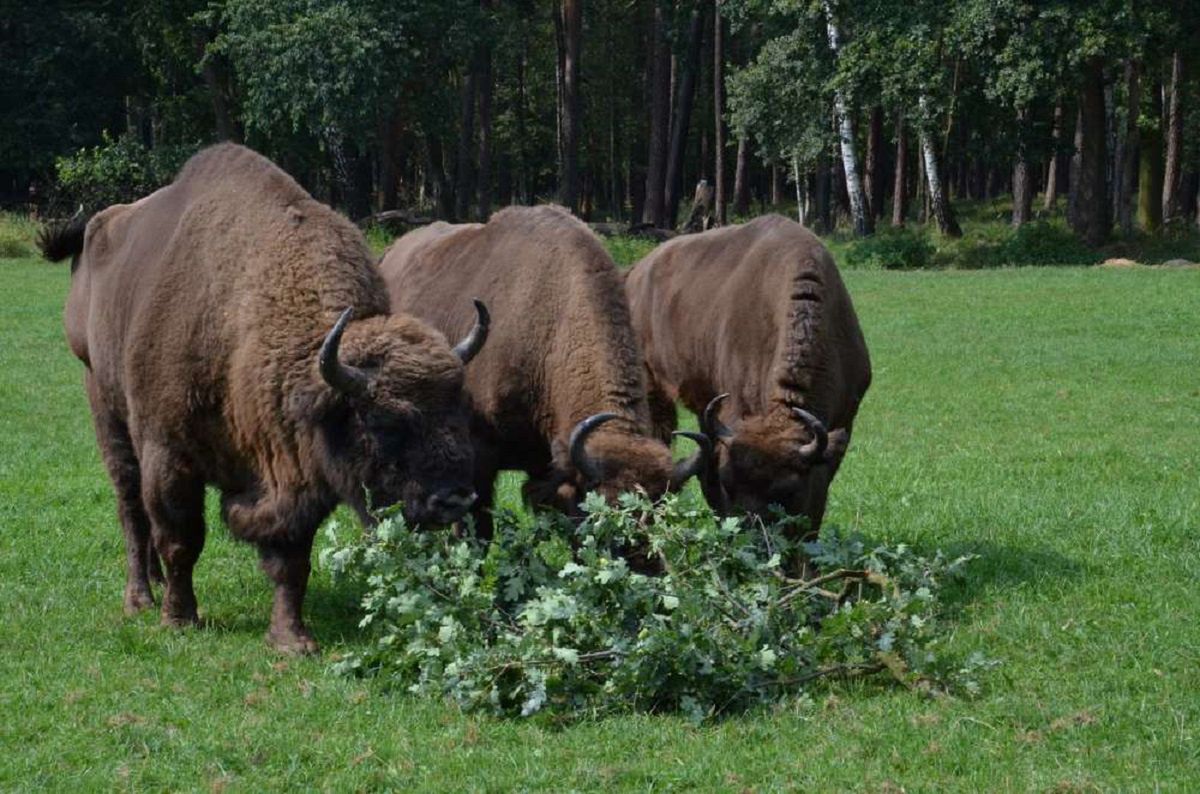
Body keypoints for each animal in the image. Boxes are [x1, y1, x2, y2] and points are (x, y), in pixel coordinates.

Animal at [38, 143, 487, 652]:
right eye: (386, 421)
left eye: (459, 411)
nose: (454, 498)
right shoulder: (169, 455)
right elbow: (181, 539)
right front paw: (180, 619)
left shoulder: (294, 472)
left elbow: (291, 560)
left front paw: (292, 640)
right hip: (105, 407)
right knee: (132, 507)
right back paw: (140, 598)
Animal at [624, 214, 868, 534]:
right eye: (729, 485)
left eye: (787, 492)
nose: (752, 532)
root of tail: (636, 272)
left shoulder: (845, 421)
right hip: (654, 387)